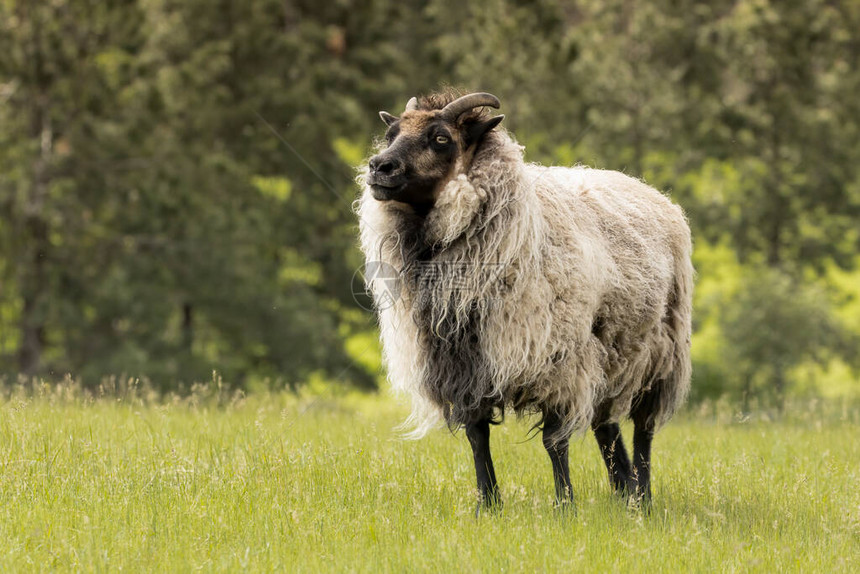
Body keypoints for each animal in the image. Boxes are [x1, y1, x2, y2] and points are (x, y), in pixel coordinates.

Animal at [354, 90, 692, 512]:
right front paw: (487, 505)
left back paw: (642, 498)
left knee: (643, 430)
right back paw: (622, 492)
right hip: (609, 353)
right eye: (391, 133)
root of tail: (648, 189)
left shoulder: (559, 362)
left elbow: (554, 440)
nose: (379, 167)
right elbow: (477, 435)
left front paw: (565, 507)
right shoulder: (464, 364)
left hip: (660, 354)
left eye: (441, 138)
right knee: (607, 427)